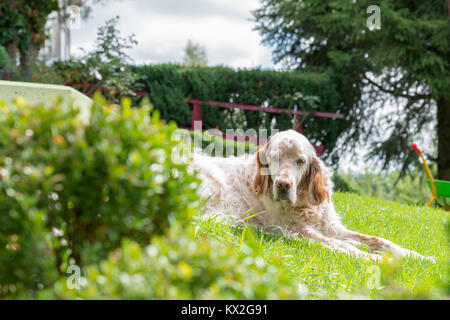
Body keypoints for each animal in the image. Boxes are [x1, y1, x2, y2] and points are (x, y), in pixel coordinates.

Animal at [192, 129, 434, 262]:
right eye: (274, 158)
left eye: (300, 161)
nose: (282, 185)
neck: (302, 202)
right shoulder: (299, 230)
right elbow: (346, 247)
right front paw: (372, 257)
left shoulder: (332, 227)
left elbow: (379, 240)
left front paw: (420, 256)